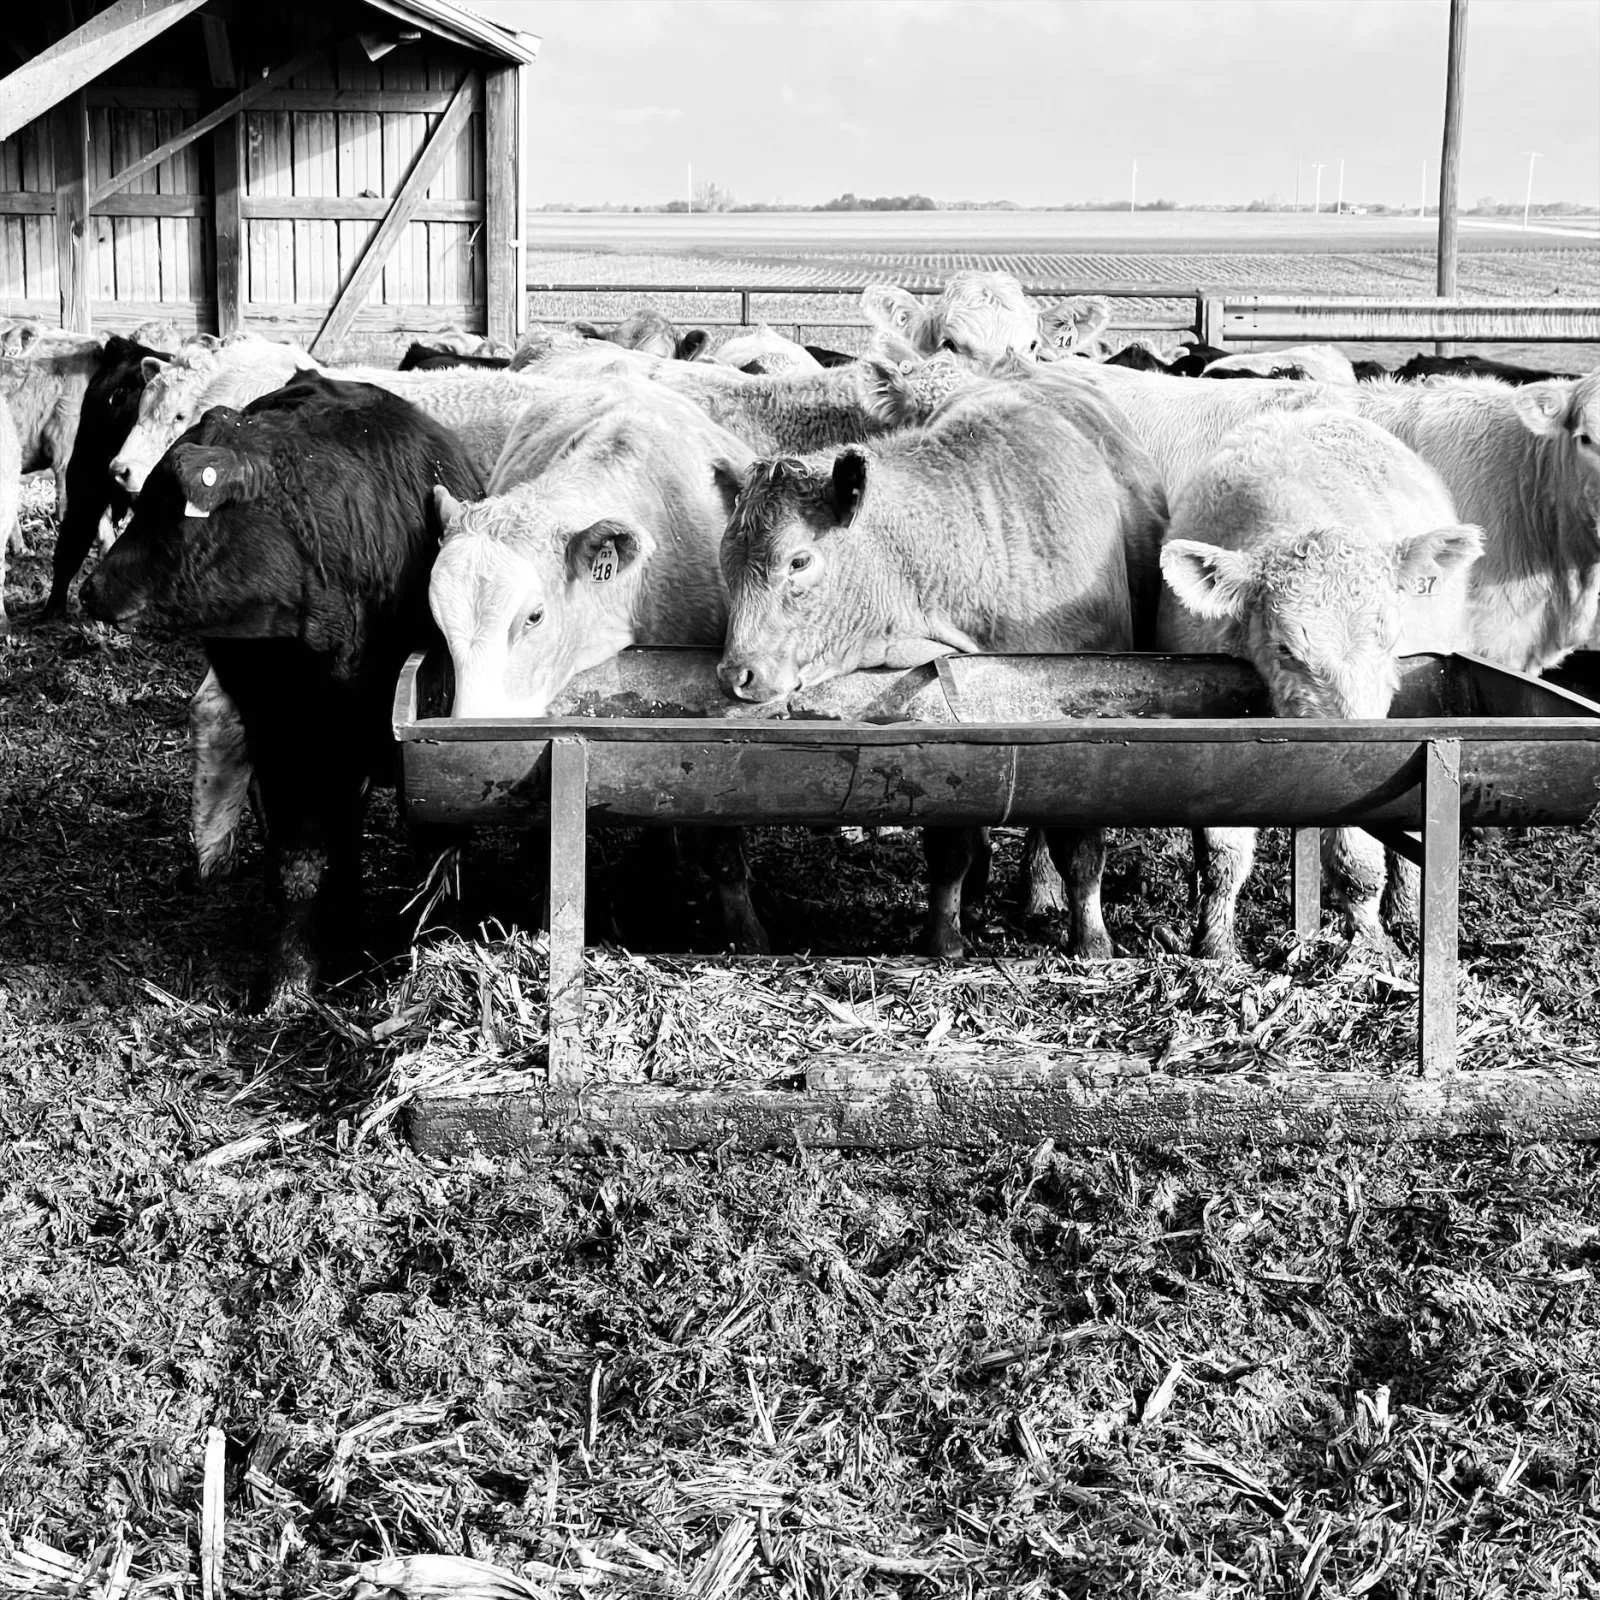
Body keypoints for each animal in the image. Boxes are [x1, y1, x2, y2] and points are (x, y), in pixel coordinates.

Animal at [81, 371, 483, 1008]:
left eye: (169, 508)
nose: (92, 588)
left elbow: (438, 850)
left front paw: (434, 947)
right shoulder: (284, 739)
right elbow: (301, 861)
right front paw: (290, 982)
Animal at [717, 383, 1142, 961]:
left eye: (799, 561)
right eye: (726, 561)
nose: (736, 673)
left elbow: (1080, 850)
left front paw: (1093, 939)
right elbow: (949, 849)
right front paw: (945, 933)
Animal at [1158, 409, 1482, 962]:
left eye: (1390, 638)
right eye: (1286, 648)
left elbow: (1358, 859)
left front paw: (1371, 945)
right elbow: (1223, 855)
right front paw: (1216, 948)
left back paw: (1404, 912)